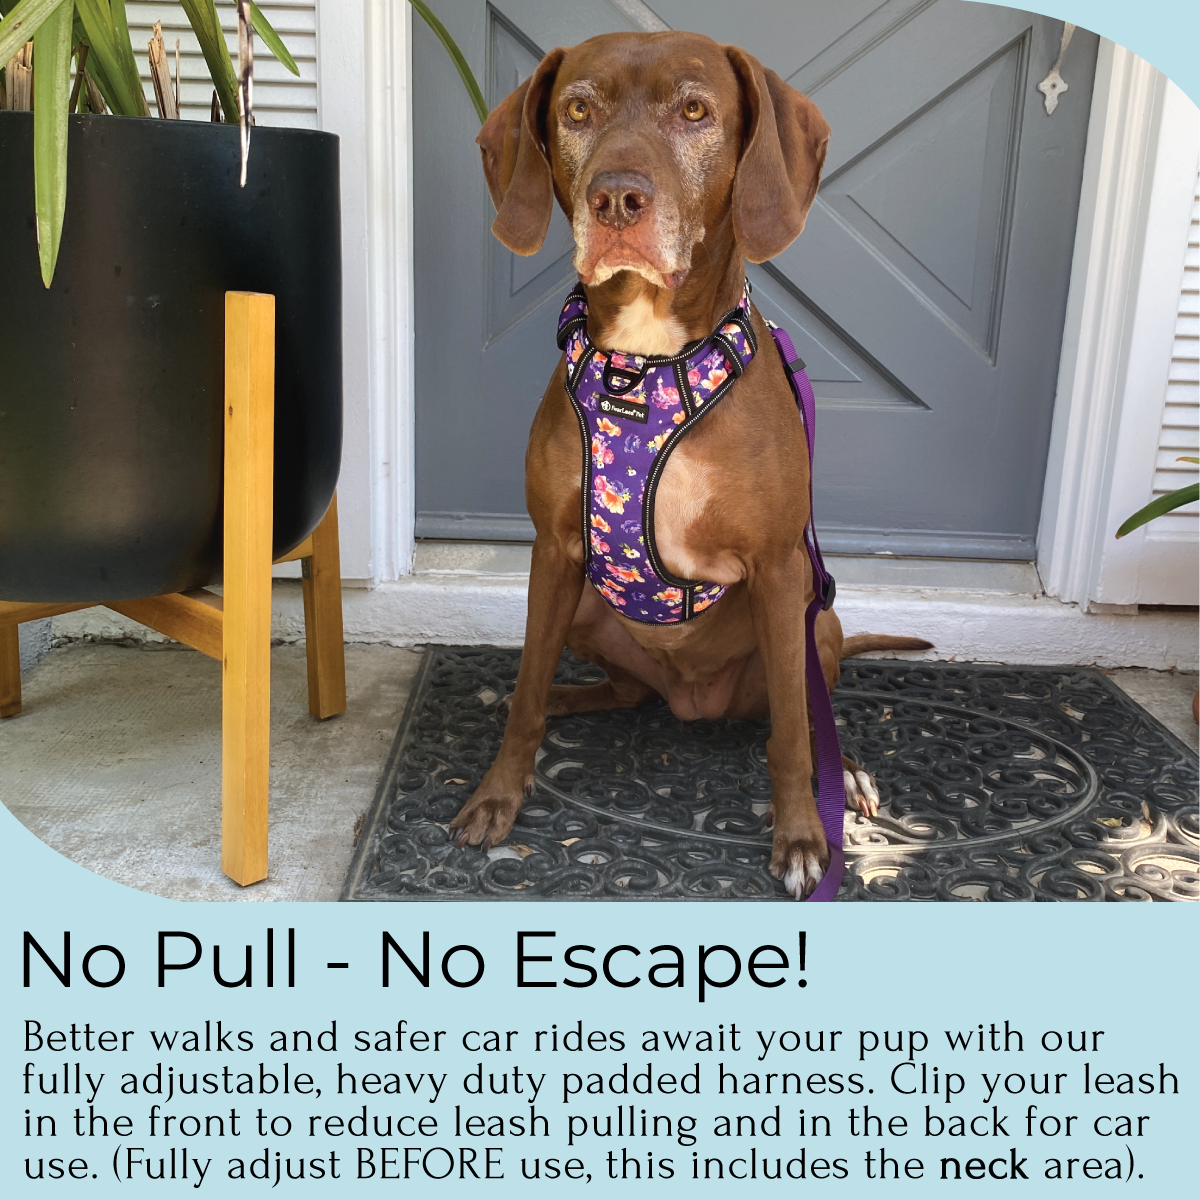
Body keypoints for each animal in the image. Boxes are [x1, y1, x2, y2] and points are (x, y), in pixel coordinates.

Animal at [451, 28, 926, 897]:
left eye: (696, 111)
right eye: (578, 110)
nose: (615, 200)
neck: (645, 365)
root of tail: (691, 700)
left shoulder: (777, 568)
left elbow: (794, 735)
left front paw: (802, 836)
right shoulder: (552, 554)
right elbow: (525, 690)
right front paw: (499, 793)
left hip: (815, 620)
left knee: (796, 713)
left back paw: (845, 777)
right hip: (589, 612)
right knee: (614, 688)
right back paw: (573, 695)